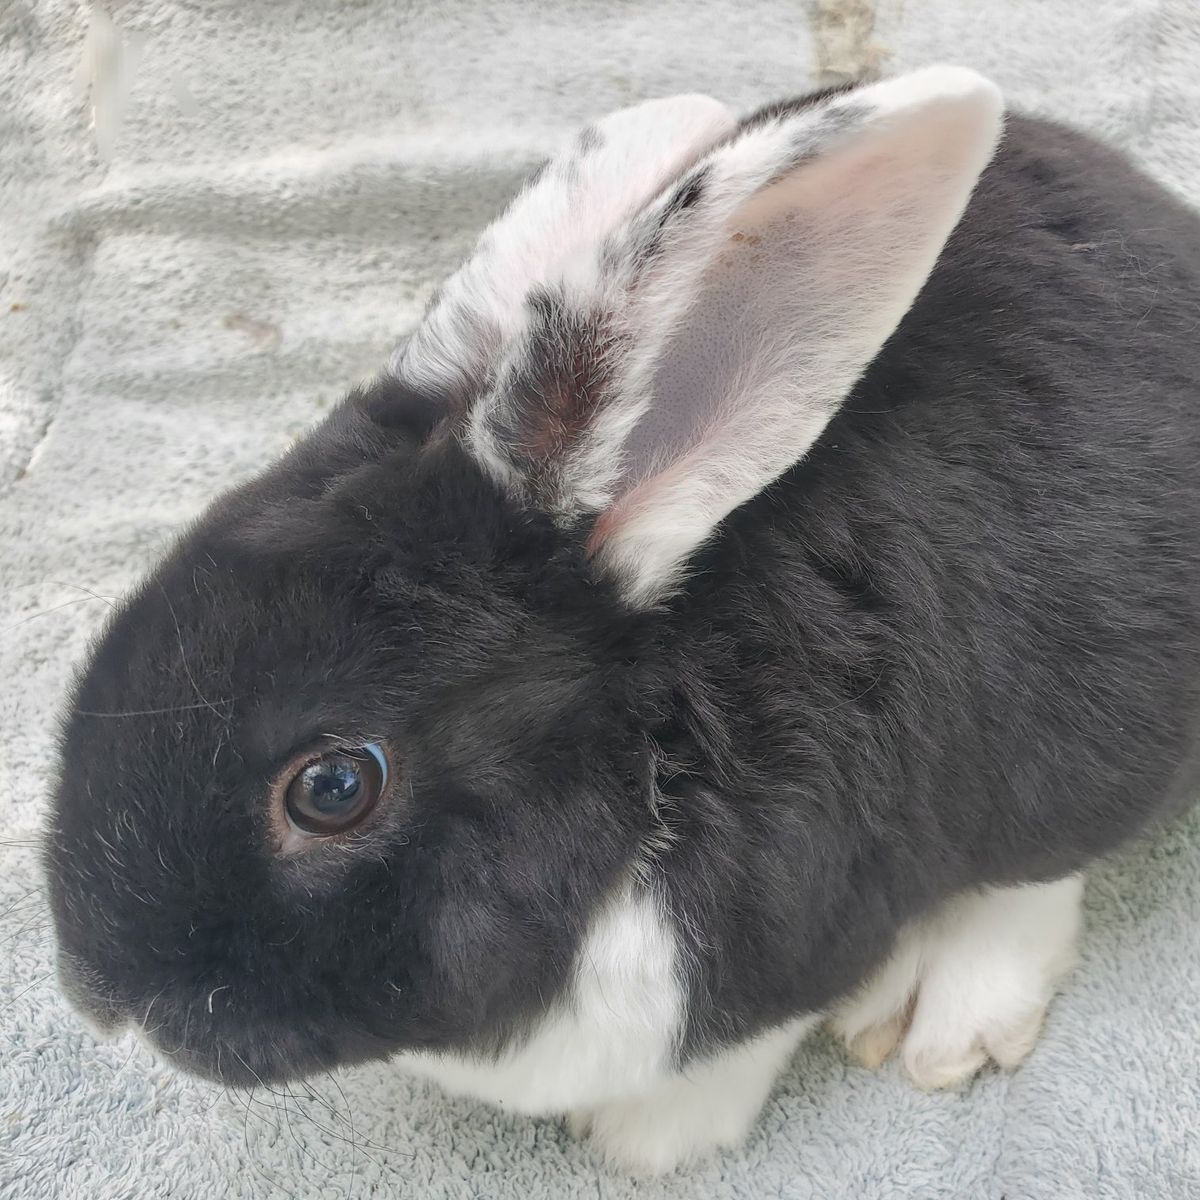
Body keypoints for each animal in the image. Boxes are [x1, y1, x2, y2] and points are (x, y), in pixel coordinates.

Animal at [44, 65, 1200, 1175]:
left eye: (332, 789)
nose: (106, 1002)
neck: (655, 748)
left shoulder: (794, 933)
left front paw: (644, 1143)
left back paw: (946, 1024)